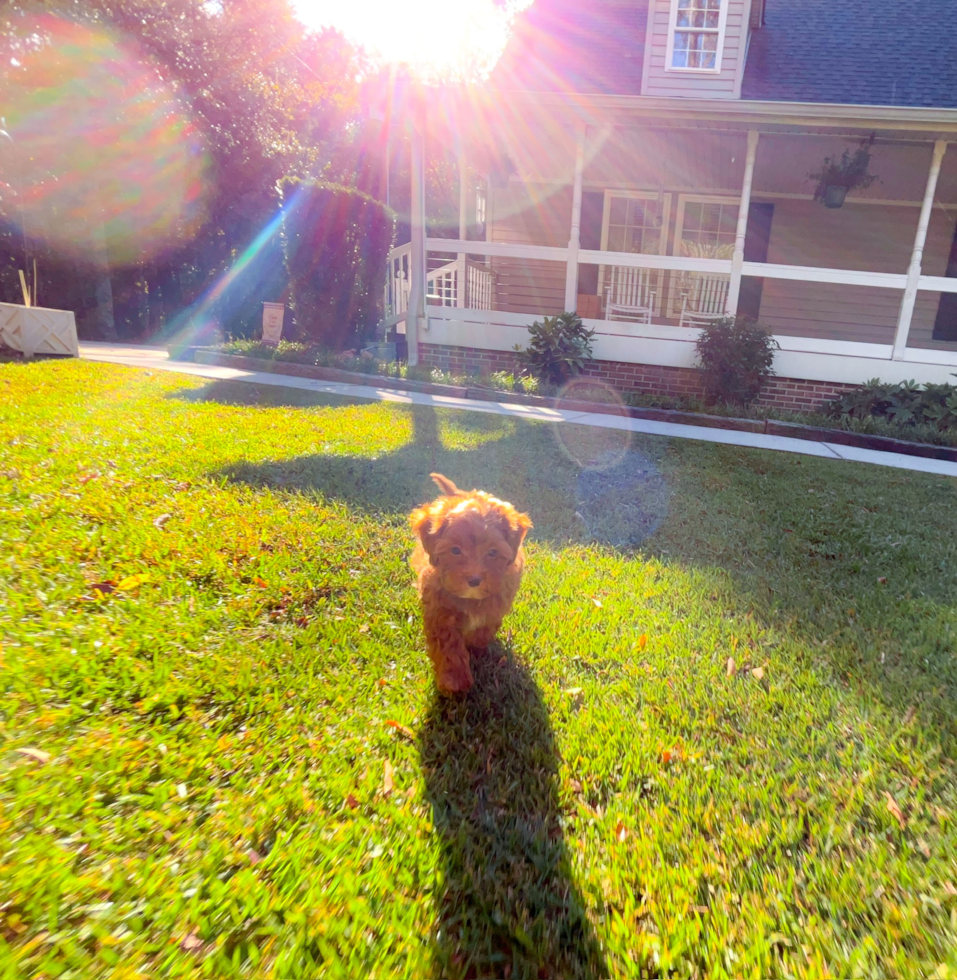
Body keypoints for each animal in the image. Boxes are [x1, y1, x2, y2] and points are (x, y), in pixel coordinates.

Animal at [408, 474, 536, 696]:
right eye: (455, 550)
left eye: (492, 552)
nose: (474, 580)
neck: (471, 600)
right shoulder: (441, 614)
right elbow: (449, 647)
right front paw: (454, 680)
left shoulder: (495, 608)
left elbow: (482, 631)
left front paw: (476, 648)